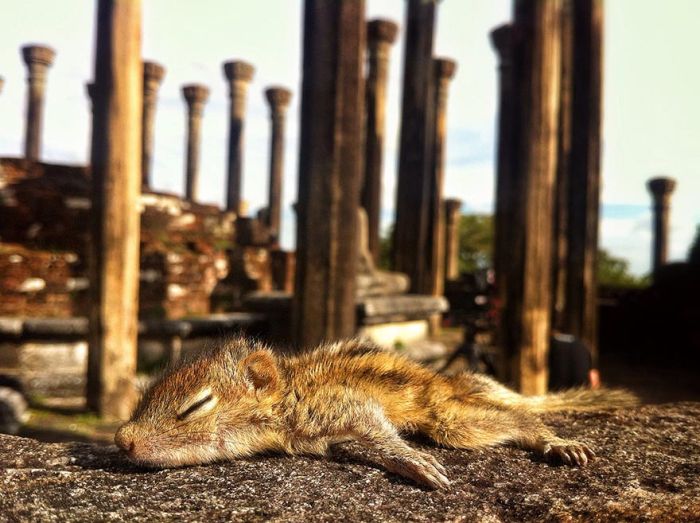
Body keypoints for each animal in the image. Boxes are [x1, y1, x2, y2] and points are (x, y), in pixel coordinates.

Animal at [115, 338, 640, 490]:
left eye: (195, 406)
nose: (122, 439)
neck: (289, 398)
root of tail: (449, 382)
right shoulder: (333, 437)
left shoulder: (348, 408)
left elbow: (380, 433)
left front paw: (414, 462)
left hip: (449, 419)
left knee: (520, 421)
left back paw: (556, 441)